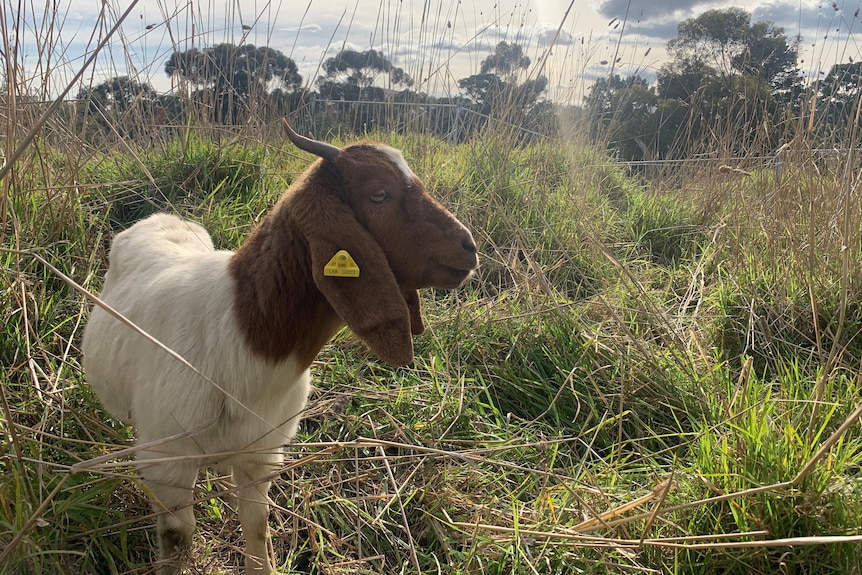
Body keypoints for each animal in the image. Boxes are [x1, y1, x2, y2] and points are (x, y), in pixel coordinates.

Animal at [81, 119, 480, 572]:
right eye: (379, 194)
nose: (469, 247)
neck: (243, 333)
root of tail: (161, 218)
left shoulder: (262, 453)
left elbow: (257, 525)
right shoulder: (168, 461)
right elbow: (177, 542)